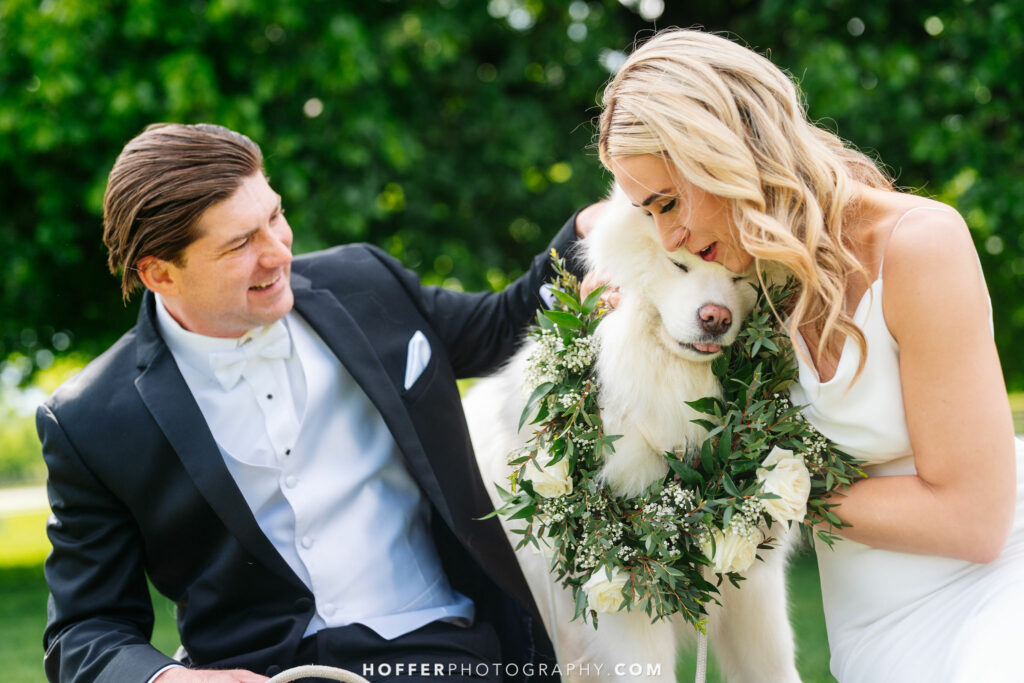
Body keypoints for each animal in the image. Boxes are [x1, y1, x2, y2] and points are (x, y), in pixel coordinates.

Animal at [462, 188, 798, 683]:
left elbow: (773, 667)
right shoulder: (624, 602)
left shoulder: (754, 591)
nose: (715, 318)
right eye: (679, 266)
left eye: (739, 276)